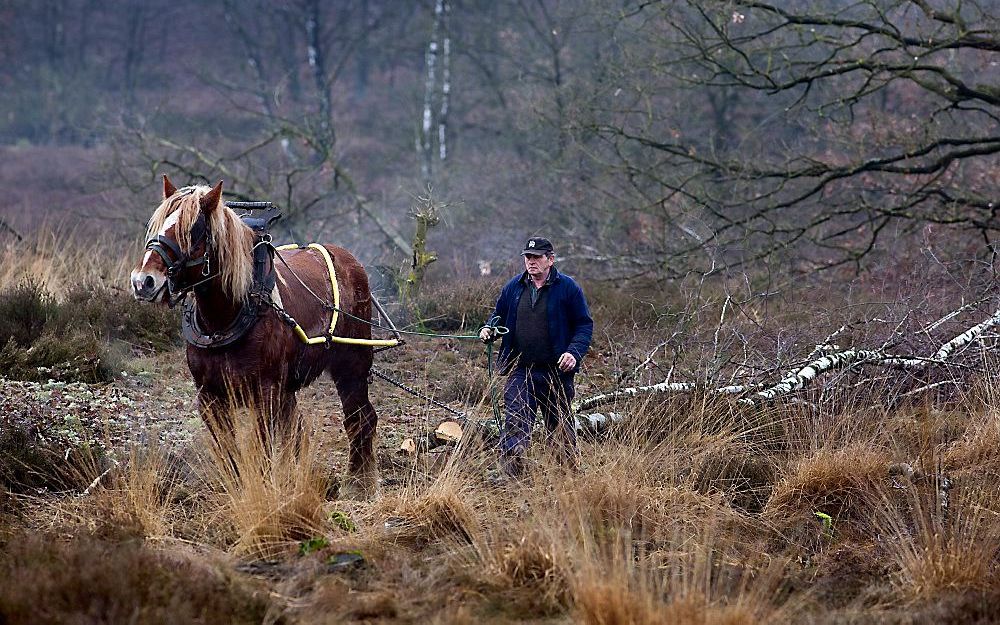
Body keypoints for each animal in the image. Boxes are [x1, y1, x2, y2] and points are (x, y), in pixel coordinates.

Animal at [129, 177, 382, 498]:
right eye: (158, 226)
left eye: (191, 231)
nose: (143, 282)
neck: (226, 317)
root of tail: (350, 260)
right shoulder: (210, 396)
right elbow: (230, 452)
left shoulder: (266, 392)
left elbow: (262, 452)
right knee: (300, 433)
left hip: (352, 366)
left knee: (359, 419)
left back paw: (359, 482)